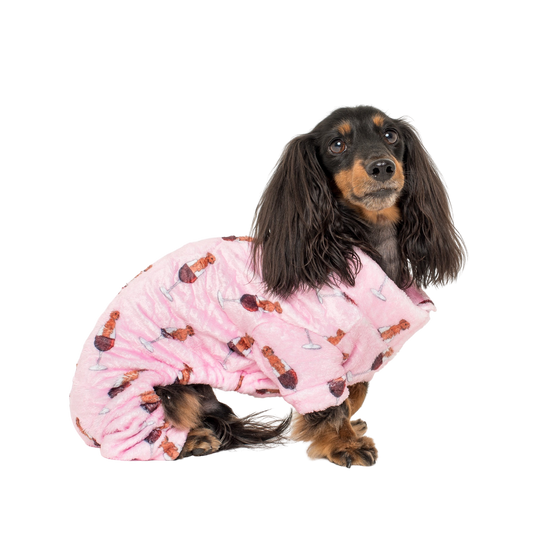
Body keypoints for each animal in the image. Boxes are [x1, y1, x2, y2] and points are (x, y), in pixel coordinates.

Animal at [69, 103, 469, 468]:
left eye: (390, 136)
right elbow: (330, 405)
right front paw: (342, 445)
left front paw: (352, 431)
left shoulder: (358, 355)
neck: (349, 243)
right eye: (337, 144)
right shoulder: (308, 358)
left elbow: (353, 394)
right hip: (146, 394)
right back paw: (194, 441)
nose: (382, 166)